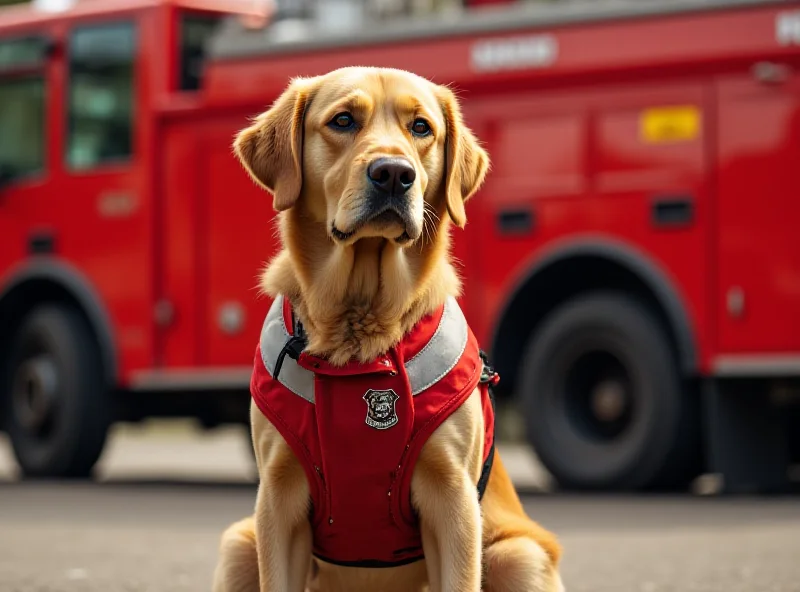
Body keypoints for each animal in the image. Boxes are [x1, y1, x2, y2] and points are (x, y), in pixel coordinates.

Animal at [212, 66, 564, 592]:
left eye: (421, 128)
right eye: (342, 120)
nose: (395, 174)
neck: (360, 330)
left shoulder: (453, 500)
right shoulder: (278, 500)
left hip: (519, 554)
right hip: (240, 544)